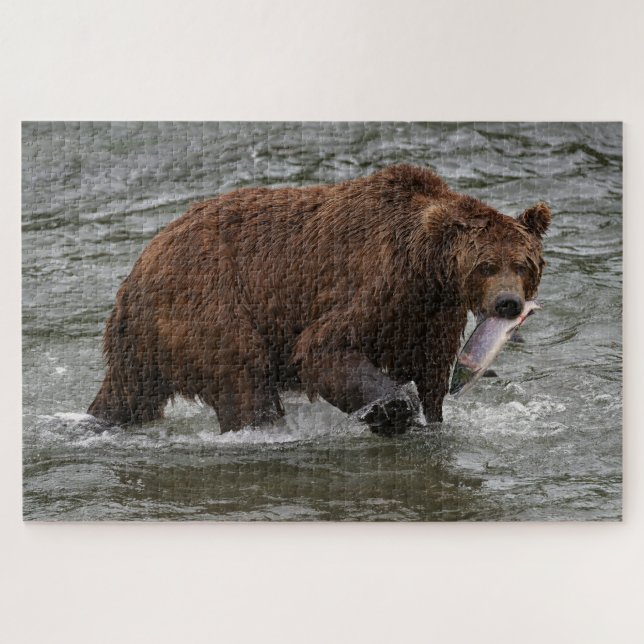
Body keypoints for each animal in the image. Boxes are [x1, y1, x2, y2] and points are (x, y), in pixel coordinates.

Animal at [88, 164, 551, 434]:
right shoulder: (377, 285)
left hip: (150, 341)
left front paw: (429, 418)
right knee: (244, 376)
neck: (427, 270)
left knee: (131, 394)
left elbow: (431, 372)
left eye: (522, 264)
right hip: (206, 303)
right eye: (486, 265)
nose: (507, 304)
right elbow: (322, 347)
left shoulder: (430, 316)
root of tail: (135, 274)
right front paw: (392, 407)